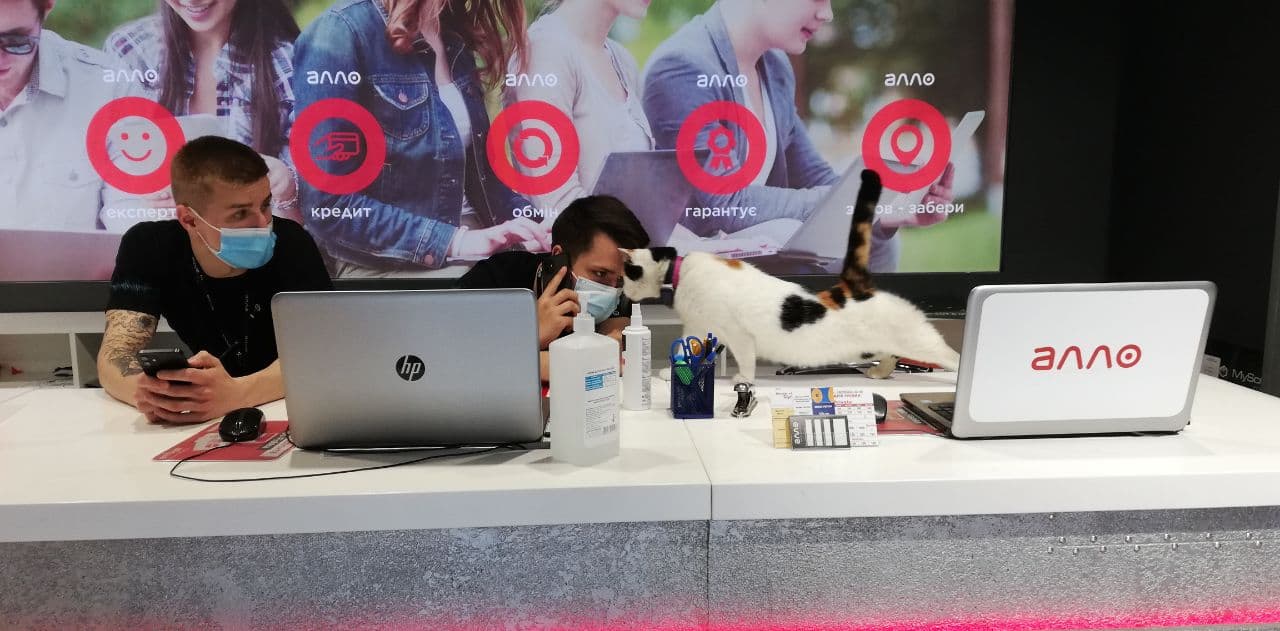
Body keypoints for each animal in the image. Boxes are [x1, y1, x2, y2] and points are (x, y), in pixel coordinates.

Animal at [620, 169, 960, 386]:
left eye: (625, 277)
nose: (622, 294)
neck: (679, 272)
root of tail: (855, 286)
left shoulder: (737, 333)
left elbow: (744, 358)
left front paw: (744, 380)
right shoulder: (700, 328)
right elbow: (685, 349)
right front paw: (673, 373)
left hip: (919, 340)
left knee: (950, 355)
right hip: (873, 345)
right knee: (888, 354)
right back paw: (879, 374)